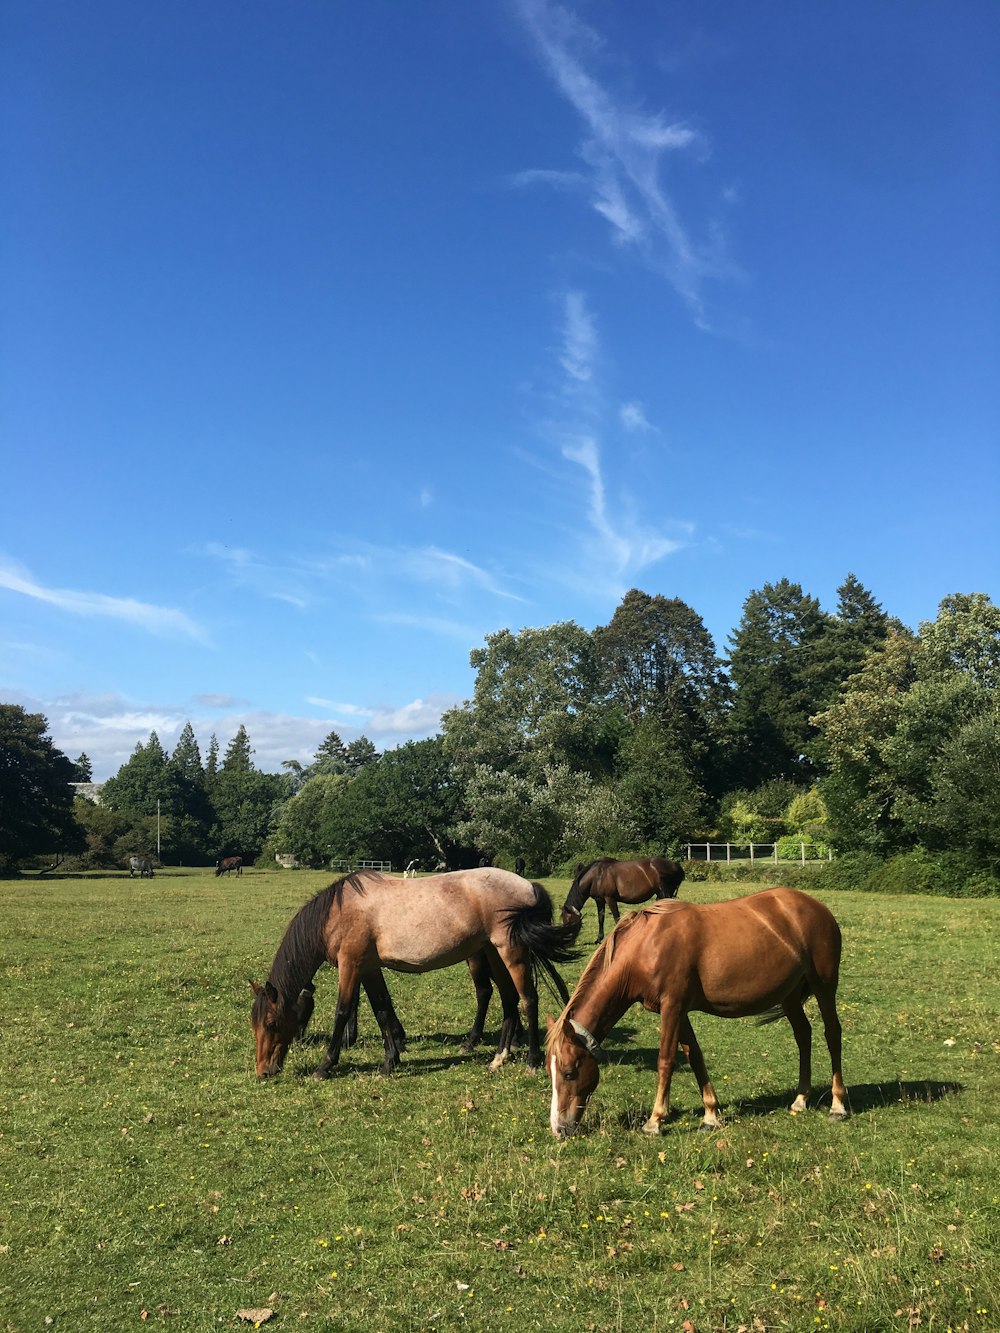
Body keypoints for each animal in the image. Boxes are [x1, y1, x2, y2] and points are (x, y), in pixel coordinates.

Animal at [250, 869, 578, 1077]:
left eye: (271, 1023)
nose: (263, 1071)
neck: (337, 912)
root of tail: (528, 886)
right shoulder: (369, 968)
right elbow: (382, 1009)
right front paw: (390, 1061)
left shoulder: (351, 964)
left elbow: (342, 1012)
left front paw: (325, 1066)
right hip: (493, 953)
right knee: (508, 1000)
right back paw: (499, 1058)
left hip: (510, 951)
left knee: (528, 1000)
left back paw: (532, 1061)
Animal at [549, 890, 848, 1141]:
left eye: (568, 1073)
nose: (559, 1129)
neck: (645, 947)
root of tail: (818, 907)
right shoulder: (679, 1011)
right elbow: (695, 1057)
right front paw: (710, 1115)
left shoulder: (672, 1007)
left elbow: (666, 1060)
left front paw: (655, 1120)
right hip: (789, 996)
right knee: (803, 1035)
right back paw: (801, 1099)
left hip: (824, 986)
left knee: (832, 1034)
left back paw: (837, 1105)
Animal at [560, 858, 688, 943]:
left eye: (569, 920)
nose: (568, 941)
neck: (597, 876)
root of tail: (675, 865)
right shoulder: (599, 900)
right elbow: (601, 918)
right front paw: (599, 939)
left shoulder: (610, 899)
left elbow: (617, 918)